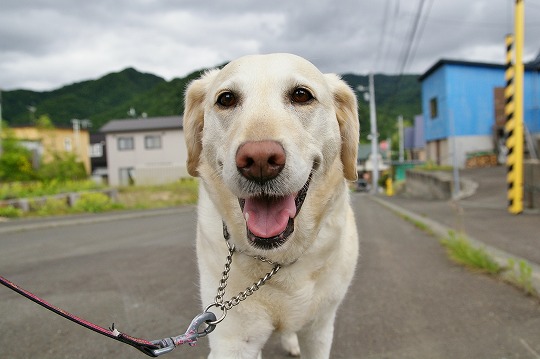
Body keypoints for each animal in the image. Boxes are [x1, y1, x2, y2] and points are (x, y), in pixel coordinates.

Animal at [185, 53, 358, 359]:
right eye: (226, 99)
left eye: (301, 95)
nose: (260, 160)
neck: (276, 261)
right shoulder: (232, 339)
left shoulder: (320, 327)